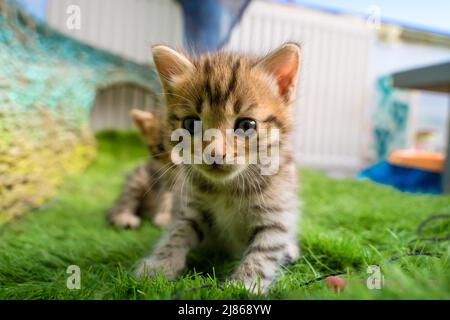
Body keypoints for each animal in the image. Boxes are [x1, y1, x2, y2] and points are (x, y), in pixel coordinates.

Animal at [135, 43, 300, 294]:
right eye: (190, 123)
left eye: (246, 125)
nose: (214, 153)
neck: (228, 188)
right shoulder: (191, 206)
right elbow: (177, 232)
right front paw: (160, 265)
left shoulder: (276, 213)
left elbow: (264, 250)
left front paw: (245, 284)